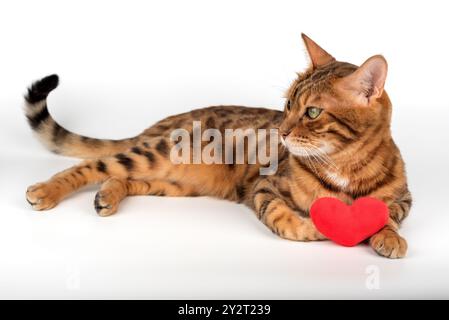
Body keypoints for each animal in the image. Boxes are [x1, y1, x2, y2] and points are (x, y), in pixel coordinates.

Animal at [23, 34, 410, 258]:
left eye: (312, 112)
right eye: (287, 105)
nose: (283, 132)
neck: (346, 165)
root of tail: (160, 124)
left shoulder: (404, 199)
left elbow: (389, 213)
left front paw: (388, 237)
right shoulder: (265, 186)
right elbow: (281, 215)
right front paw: (311, 227)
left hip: (173, 183)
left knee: (123, 178)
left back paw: (107, 196)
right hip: (158, 154)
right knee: (93, 166)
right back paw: (45, 190)